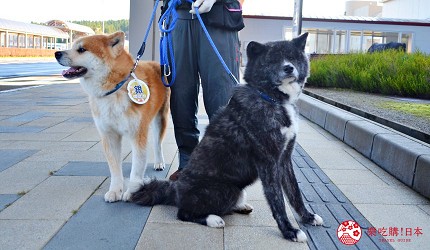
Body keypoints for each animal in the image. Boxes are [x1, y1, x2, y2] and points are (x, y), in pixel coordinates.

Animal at [55, 31, 171, 203]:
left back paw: (159, 162)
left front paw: (133, 190)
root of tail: (158, 64)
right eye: (72, 46)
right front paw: (116, 191)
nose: (57, 53)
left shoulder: (137, 133)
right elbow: (115, 169)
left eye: (81, 49)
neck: (114, 90)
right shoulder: (109, 135)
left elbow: (137, 167)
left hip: (160, 119)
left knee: (157, 144)